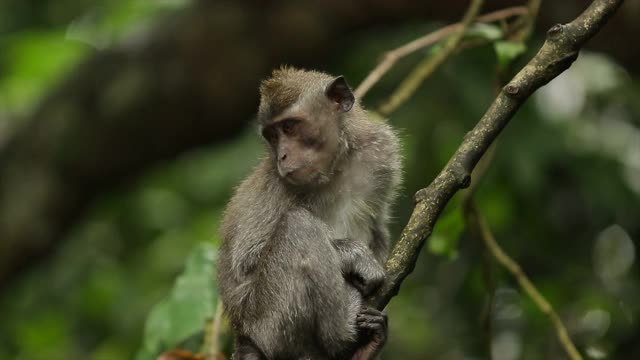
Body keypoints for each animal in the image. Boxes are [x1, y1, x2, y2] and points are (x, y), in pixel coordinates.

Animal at [219, 67, 400, 360]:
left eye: (289, 127)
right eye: (272, 136)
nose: (281, 156)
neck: (336, 169)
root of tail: (243, 335)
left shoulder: (381, 152)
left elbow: (378, 228)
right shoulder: (277, 186)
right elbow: (248, 260)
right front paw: (355, 255)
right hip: (269, 323)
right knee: (299, 225)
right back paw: (342, 335)